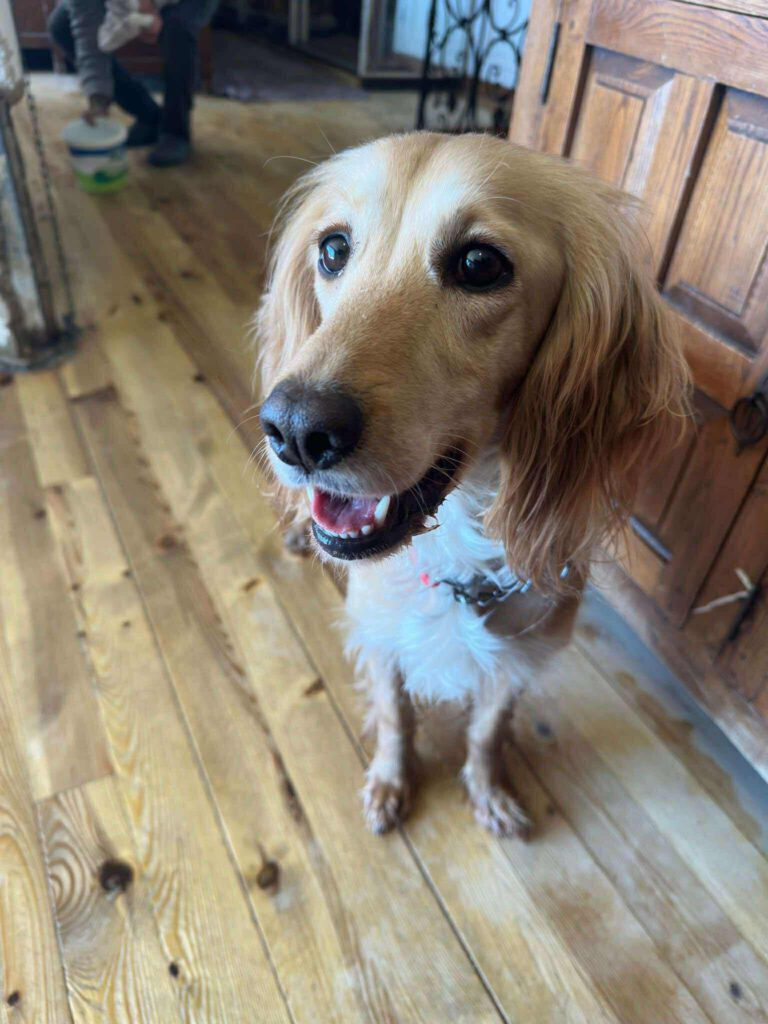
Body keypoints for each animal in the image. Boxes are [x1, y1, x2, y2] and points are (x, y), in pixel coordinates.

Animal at [256, 132, 689, 837]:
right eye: (334, 249)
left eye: (480, 264)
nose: (294, 430)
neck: (457, 551)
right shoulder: (380, 635)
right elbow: (396, 719)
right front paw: (390, 782)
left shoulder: (518, 660)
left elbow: (487, 732)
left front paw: (488, 791)